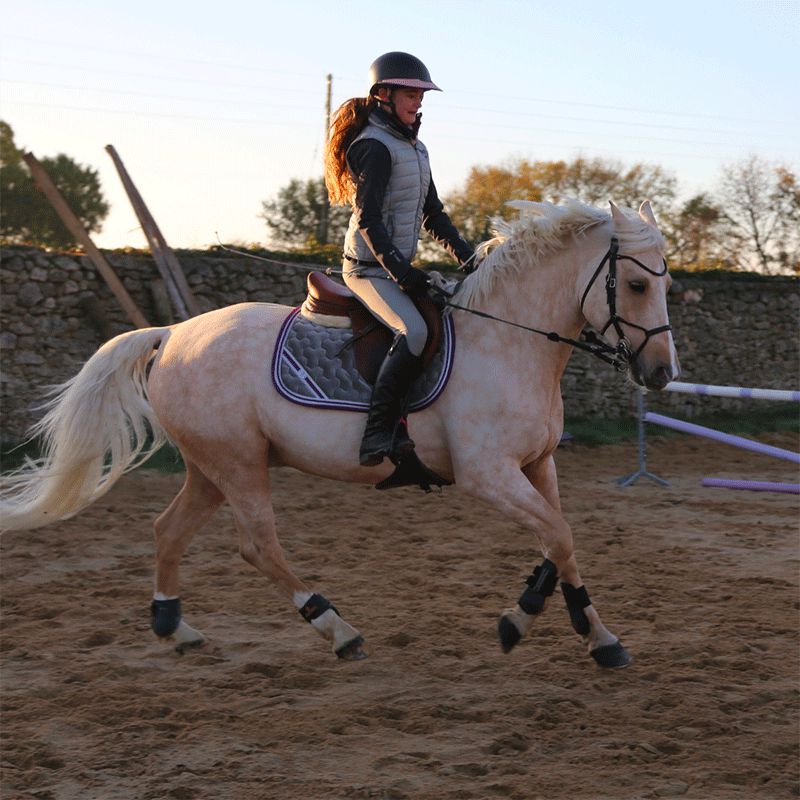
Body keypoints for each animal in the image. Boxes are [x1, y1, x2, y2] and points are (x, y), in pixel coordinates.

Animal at [0, 202, 680, 668]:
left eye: (668, 282)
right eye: (637, 284)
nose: (662, 373)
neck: (509, 339)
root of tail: (172, 334)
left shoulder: (539, 465)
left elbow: (559, 541)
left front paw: (584, 633)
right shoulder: (486, 474)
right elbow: (559, 536)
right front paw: (540, 626)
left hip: (212, 468)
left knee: (169, 530)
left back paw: (175, 627)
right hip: (239, 465)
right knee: (258, 547)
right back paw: (337, 629)